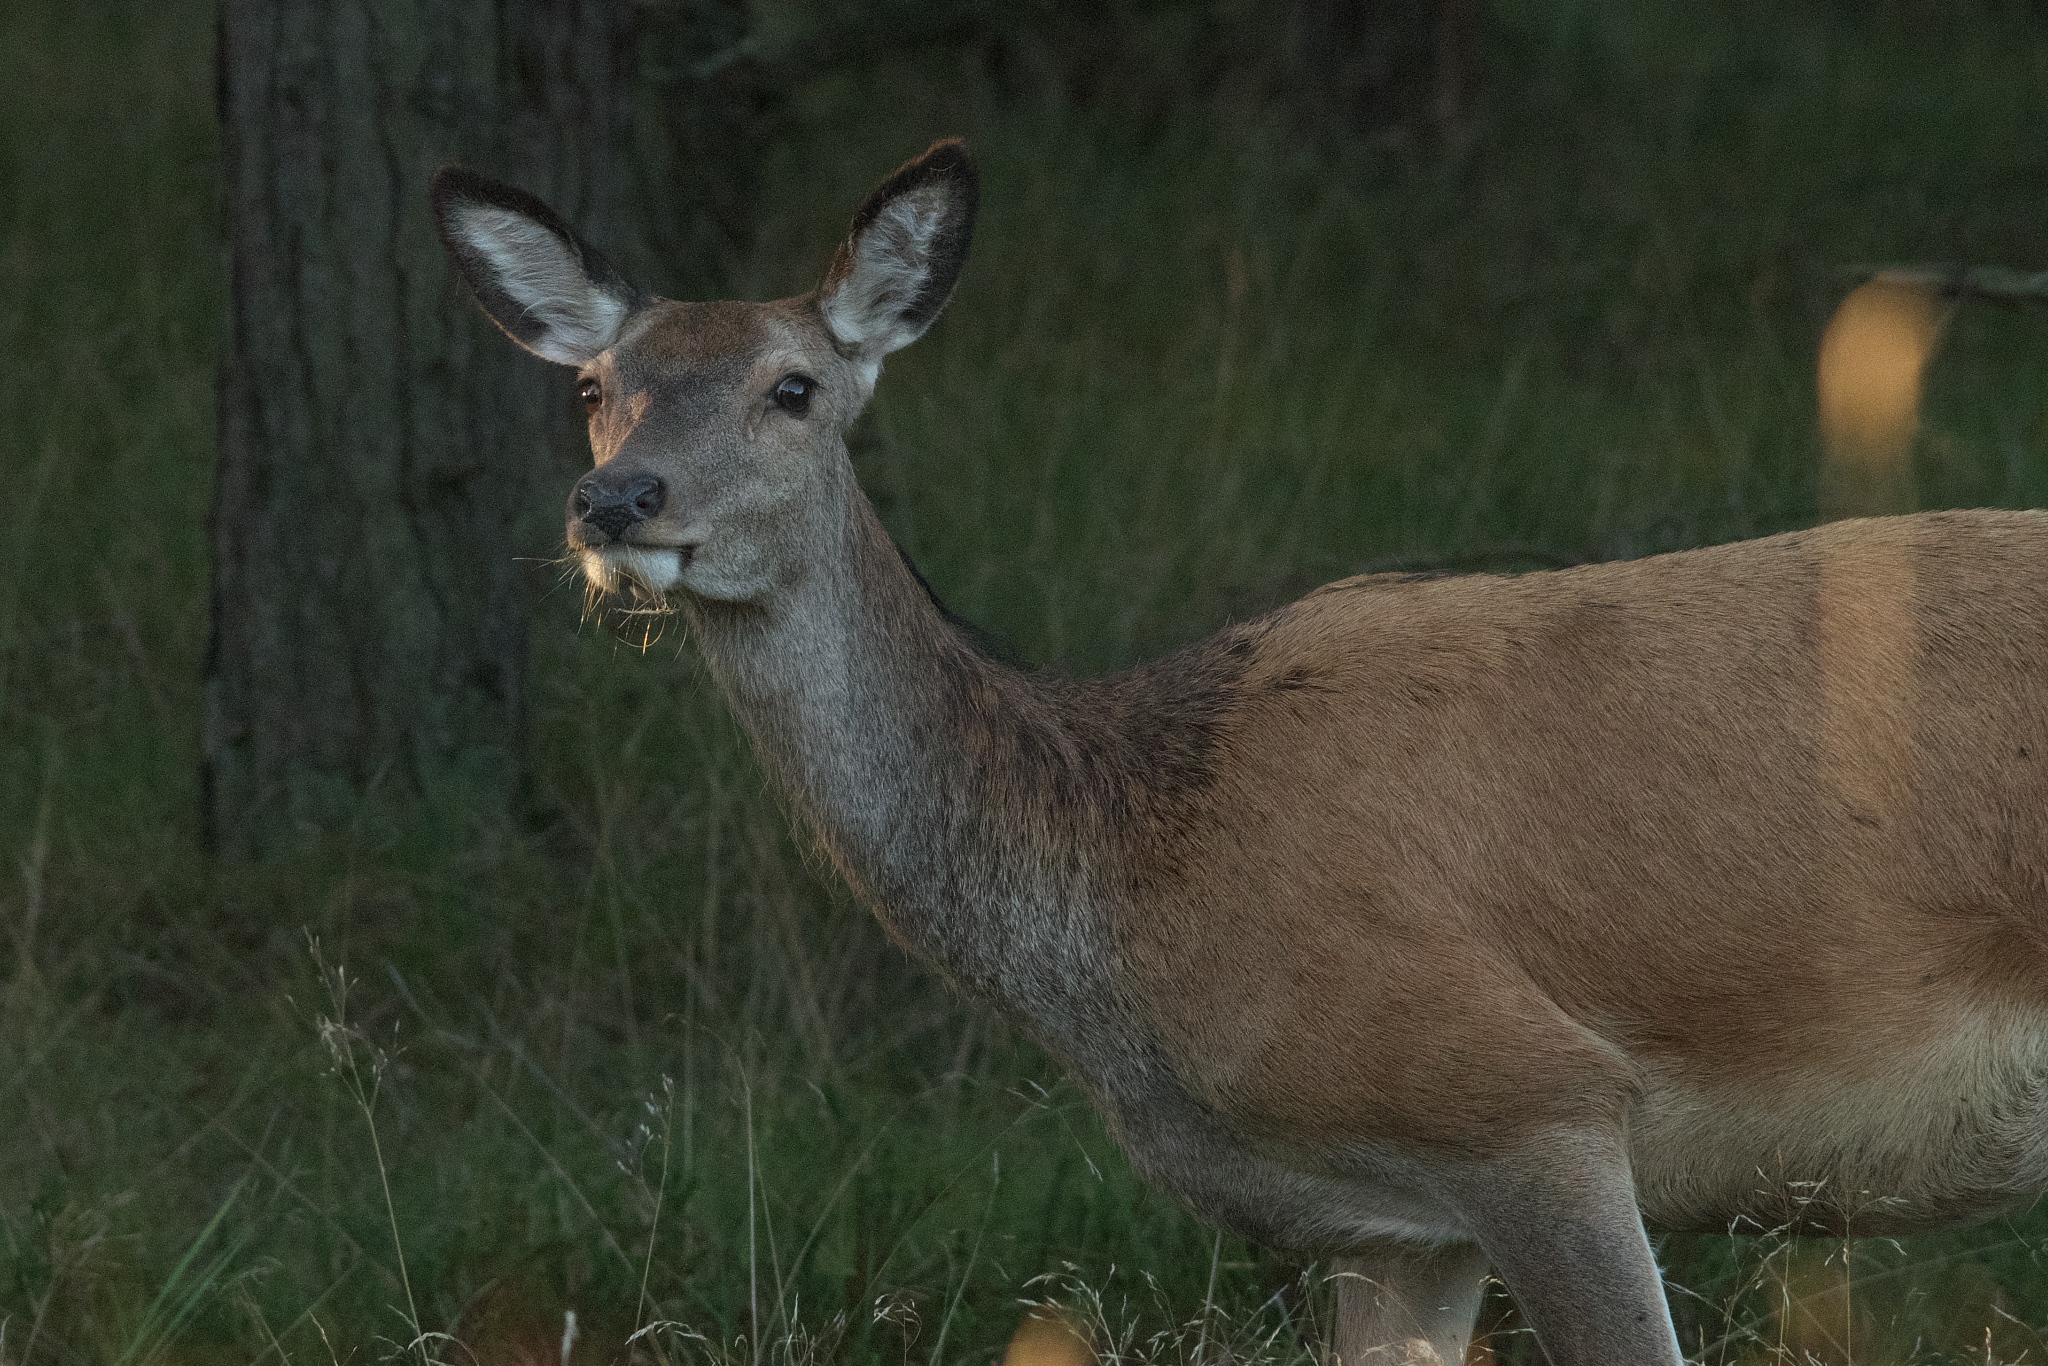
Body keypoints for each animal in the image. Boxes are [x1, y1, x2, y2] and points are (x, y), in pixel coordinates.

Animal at [436, 141, 2048, 1366]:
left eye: (793, 386)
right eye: (594, 387)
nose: (615, 500)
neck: (1128, 882)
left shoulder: (1522, 1091)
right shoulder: (1391, 1219)